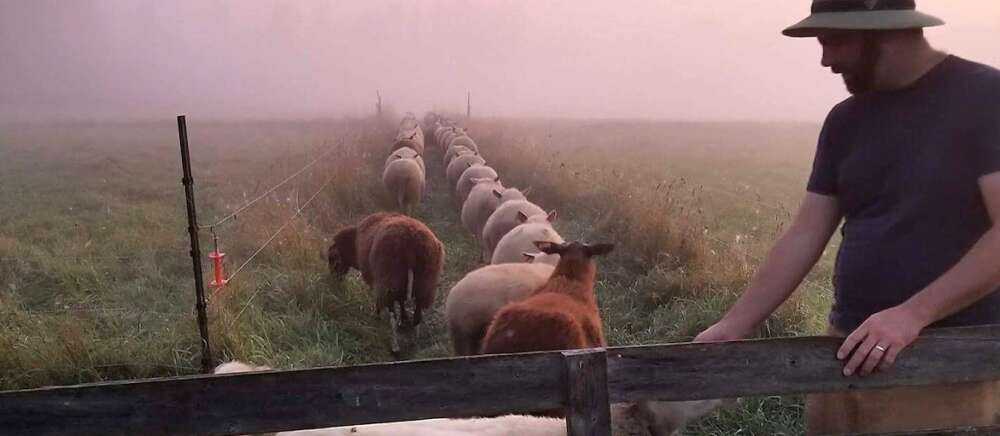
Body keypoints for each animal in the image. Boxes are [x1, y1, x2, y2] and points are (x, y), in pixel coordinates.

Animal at [327, 212, 444, 353]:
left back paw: (395, 346)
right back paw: (416, 343)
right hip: (425, 283)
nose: (334, 281)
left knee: (392, 314)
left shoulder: (376, 280)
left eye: (332, 259)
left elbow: (379, 300)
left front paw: (377, 315)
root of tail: (411, 239)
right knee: (417, 314)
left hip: (389, 279)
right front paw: (404, 320)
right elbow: (401, 301)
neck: (354, 243)